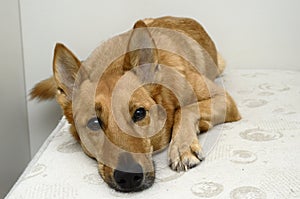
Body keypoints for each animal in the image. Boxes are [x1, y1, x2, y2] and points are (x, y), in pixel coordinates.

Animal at [31, 16, 241, 192]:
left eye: (139, 113)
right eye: (94, 123)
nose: (128, 177)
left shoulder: (223, 98)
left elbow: (186, 109)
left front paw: (182, 146)